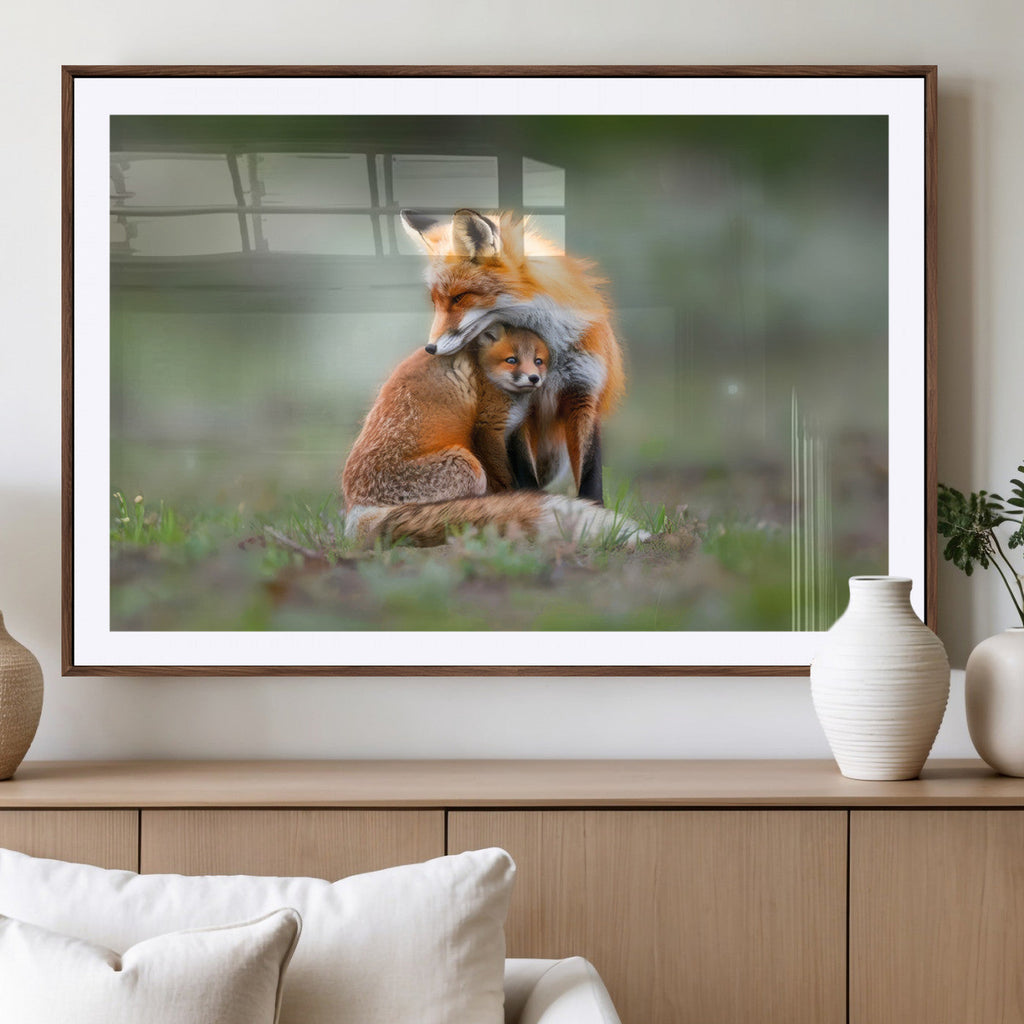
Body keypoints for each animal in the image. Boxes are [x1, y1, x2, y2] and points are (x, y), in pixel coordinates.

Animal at [341, 325, 647, 549]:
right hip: (467, 466)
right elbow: (506, 478)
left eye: (538, 361)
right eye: (512, 360)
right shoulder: (489, 427)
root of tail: (358, 510)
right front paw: (518, 499)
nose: (534, 379)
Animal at [401, 208, 626, 505]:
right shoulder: (519, 408)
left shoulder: (584, 394)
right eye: (435, 302)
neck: (550, 352)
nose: (430, 348)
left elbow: (590, 475)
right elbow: (524, 473)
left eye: (459, 297)